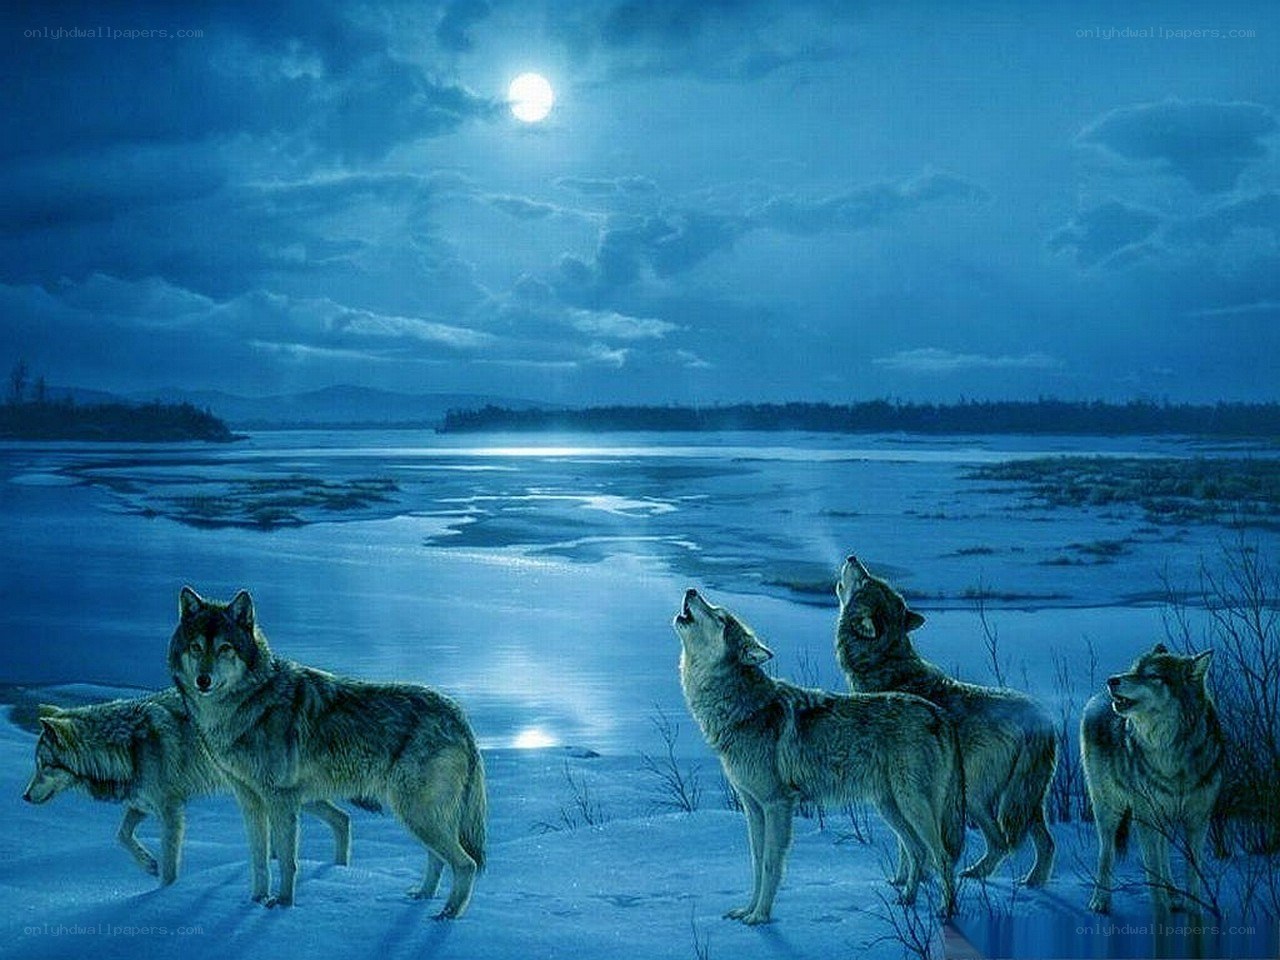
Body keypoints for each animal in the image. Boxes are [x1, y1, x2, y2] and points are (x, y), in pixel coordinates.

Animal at [22, 690, 352, 885]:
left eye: (44, 766)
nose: (24, 796)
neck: (126, 747)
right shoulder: (143, 804)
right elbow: (121, 834)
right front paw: (147, 864)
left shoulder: (171, 811)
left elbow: (170, 863)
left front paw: (163, 891)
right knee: (342, 818)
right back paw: (338, 869)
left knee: (342, 818)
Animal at [169, 586, 486, 919]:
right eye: (196, 647)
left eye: (225, 648)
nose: (203, 680)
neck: (250, 703)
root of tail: (458, 714)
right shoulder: (250, 801)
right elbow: (259, 861)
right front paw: (255, 900)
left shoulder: (280, 801)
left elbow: (287, 861)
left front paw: (283, 904)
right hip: (413, 815)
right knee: (437, 858)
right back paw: (423, 897)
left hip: (415, 813)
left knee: (466, 864)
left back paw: (446, 916)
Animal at [674, 588, 964, 924]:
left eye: (719, 617)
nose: (691, 591)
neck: (744, 711)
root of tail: (939, 713)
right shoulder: (753, 807)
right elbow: (756, 863)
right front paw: (747, 911)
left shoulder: (777, 805)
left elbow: (771, 865)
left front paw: (761, 917)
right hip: (890, 807)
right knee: (917, 850)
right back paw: (907, 900)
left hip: (912, 805)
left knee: (942, 856)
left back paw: (946, 912)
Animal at [835, 555, 1057, 887]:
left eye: (865, 581)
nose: (852, 558)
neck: (885, 664)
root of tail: (1042, 716)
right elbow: (907, 843)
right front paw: (903, 881)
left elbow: (907, 844)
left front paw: (909, 881)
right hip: (1023, 802)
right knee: (1043, 843)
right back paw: (1030, 883)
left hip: (978, 797)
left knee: (1003, 842)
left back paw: (981, 876)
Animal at [1081, 643, 1223, 918]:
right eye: (1133, 669)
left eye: (1151, 675)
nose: (1112, 680)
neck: (1171, 755)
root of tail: (1096, 699)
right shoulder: (1145, 818)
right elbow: (1152, 875)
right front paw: (1162, 915)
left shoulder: (1198, 819)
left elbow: (1193, 877)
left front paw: (1192, 914)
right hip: (1108, 810)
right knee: (1106, 852)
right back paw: (1100, 901)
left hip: (1162, 818)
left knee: (1164, 850)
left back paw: (1173, 895)